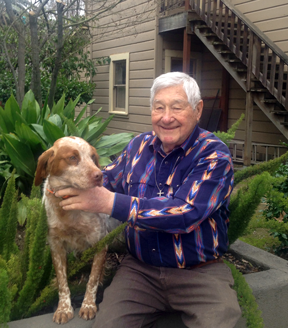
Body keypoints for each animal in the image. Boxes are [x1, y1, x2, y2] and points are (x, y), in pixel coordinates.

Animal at [33, 137, 115, 324]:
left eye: (92, 157)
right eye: (72, 157)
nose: (99, 175)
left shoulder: (100, 243)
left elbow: (92, 280)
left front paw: (88, 305)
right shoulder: (56, 246)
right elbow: (63, 282)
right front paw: (63, 308)